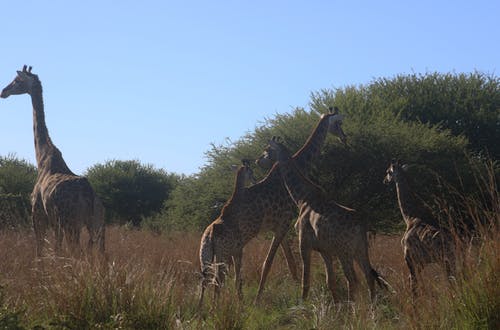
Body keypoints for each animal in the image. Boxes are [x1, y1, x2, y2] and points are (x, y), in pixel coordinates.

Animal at [1, 64, 105, 255]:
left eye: (17, 80)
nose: (3, 91)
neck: (41, 157)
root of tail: (88, 195)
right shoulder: (55, 223)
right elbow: (57, 250)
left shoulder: (38, 215)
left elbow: (40, 250)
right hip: (98, 226)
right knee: (101, 256)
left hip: (71, 223)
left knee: (77, 253)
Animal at [197, 159, 256, 308]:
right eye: (251, 171)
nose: (255, 180)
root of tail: (211, 235)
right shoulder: (238, 250)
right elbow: (237, 276)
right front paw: (240, 301)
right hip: (221, 255)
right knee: (216, 279)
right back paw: (214, 307)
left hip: (205, 255)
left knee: (205, 279)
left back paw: (200, 307)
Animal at [262, 137, 390, 302]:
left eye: (266, 149)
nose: (259, 160)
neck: (301, 197)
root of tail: (361, 225)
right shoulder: (324, 249)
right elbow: (330, 280)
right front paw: (336, 305)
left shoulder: (304, 242)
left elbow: (306, 280)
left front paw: (302, 304)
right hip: (360, 249)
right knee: (368, 276)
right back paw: (371, 306)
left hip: (344, 251)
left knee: (353, 279)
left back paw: (354, 306)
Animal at [382, 159, 458, 296]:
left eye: (388, 172)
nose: (384, 180)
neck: (410, 217)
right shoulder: (421, 263)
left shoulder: (410, 258)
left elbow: (413, 285)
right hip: (453, 258)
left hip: (445, 260)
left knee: (452, 279)